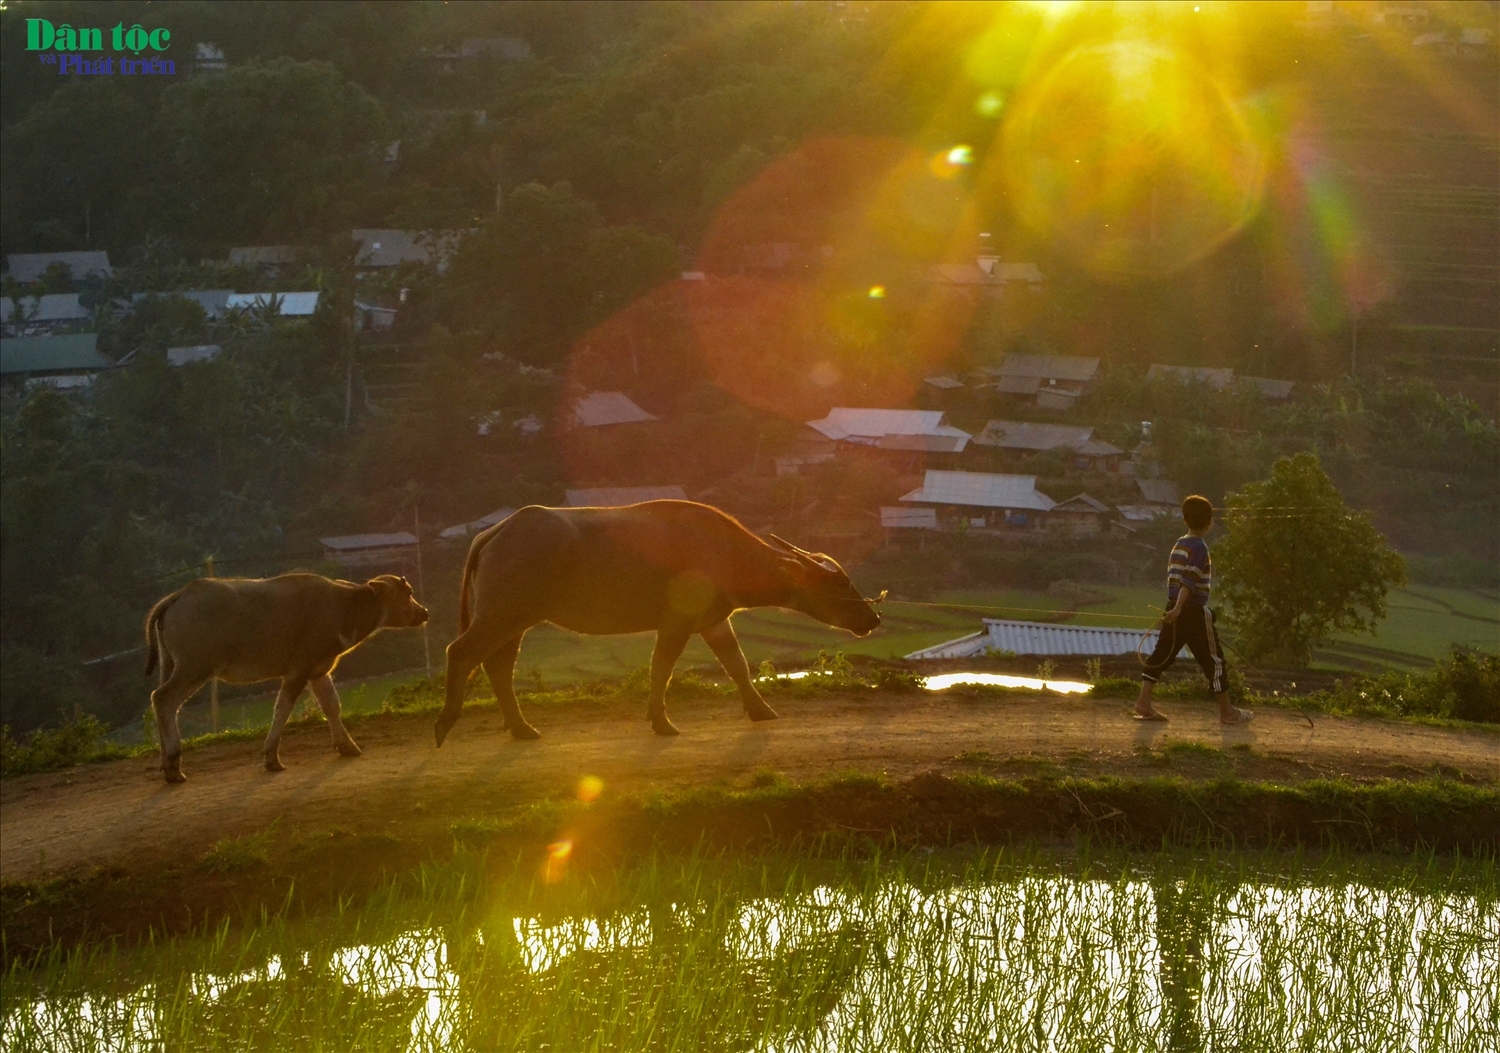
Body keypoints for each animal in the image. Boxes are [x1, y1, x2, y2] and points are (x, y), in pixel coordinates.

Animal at [144, 576, 429, 786]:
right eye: (408, 593)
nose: (424, 611)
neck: (342, 606)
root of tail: (180, 595)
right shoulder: (298, 670)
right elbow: (282, 709)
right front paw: (271, 757)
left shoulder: (318, 670)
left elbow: (331, 706)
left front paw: (347, 746)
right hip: (195, 667)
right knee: (164, 699)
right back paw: (173, 766)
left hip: (171, 664)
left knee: (159, 701)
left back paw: (164, 763)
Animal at [435, 501, 876, 744]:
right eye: (841, 582)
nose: (872, 617)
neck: (722, 551)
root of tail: (497, 532)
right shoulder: (677, 622)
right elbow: (661, 667)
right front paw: (661, 721)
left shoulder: (713, 621)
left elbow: (736, 664)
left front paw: (761, 709)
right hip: (503, 613)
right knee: (461, 652)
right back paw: (446, 724)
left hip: (515, 619)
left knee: (498, 666)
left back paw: (521, 727)